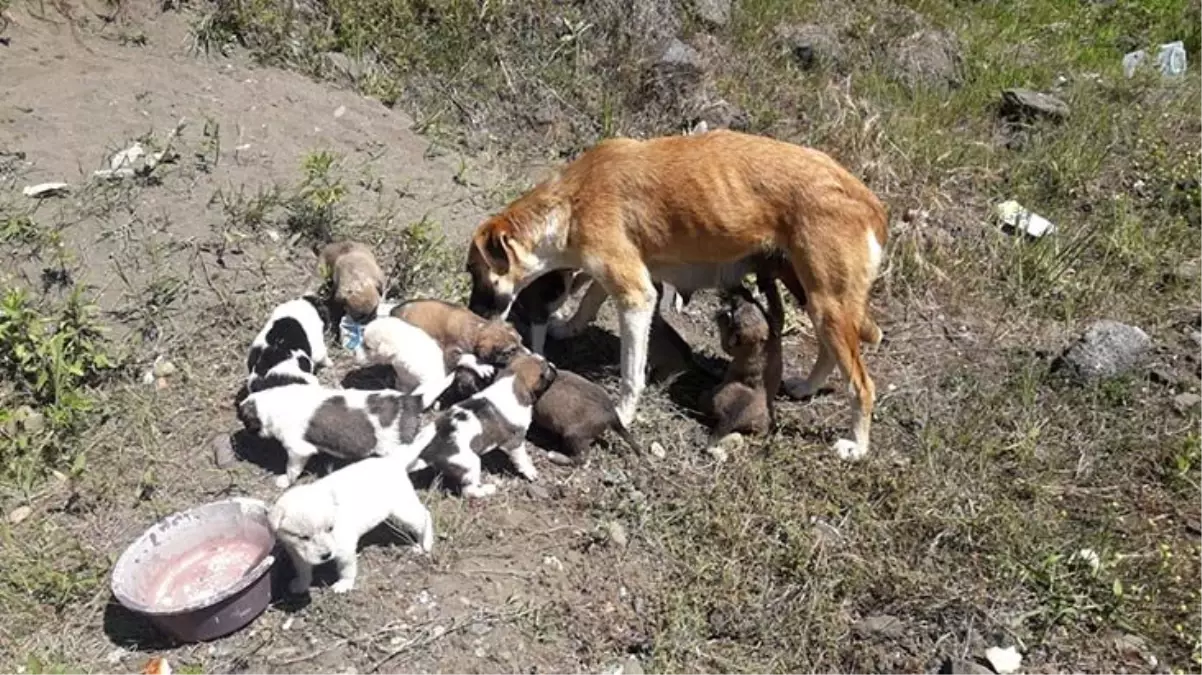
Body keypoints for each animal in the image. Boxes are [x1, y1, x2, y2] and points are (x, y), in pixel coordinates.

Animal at [234, 374, 451, 485]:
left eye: (244, 421)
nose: (237, 440)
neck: (275, 403)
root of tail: (410, 400)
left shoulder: (298, 450)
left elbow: (292, 468)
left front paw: (284, 480)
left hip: (393, 449)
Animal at [269, 444, 437, 590]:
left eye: (330, 528)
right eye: (304, 537)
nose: (326, 555)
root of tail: (393, 462)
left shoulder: (345, 549)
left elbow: (347, 569)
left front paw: (344, 584)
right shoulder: (297, 553)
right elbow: (303, 570)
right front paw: (301, 585)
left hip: (404, 510)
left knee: (425, 516)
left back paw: (426, 544)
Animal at [413, 348, 557, 497]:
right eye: (547, 368)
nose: (555, 365)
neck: (512, 382)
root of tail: (427, 451)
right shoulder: (515, 441)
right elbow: (522, 459)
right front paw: (530, 471)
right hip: (471, 463)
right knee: (469, 491)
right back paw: (488, 489)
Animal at [463, 128, 889, 458]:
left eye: (474, 271)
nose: (474, 317)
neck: (570, 202)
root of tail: (871, 202)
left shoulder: (637, 297)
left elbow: (631, 372)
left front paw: (624, 411)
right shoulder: (621, 274)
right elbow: (589, 299)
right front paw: (569, 327)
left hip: (828, 305)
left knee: (862, 385)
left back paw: (857, 446)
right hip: (815, 298)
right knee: (829, 352)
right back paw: (807, 388)